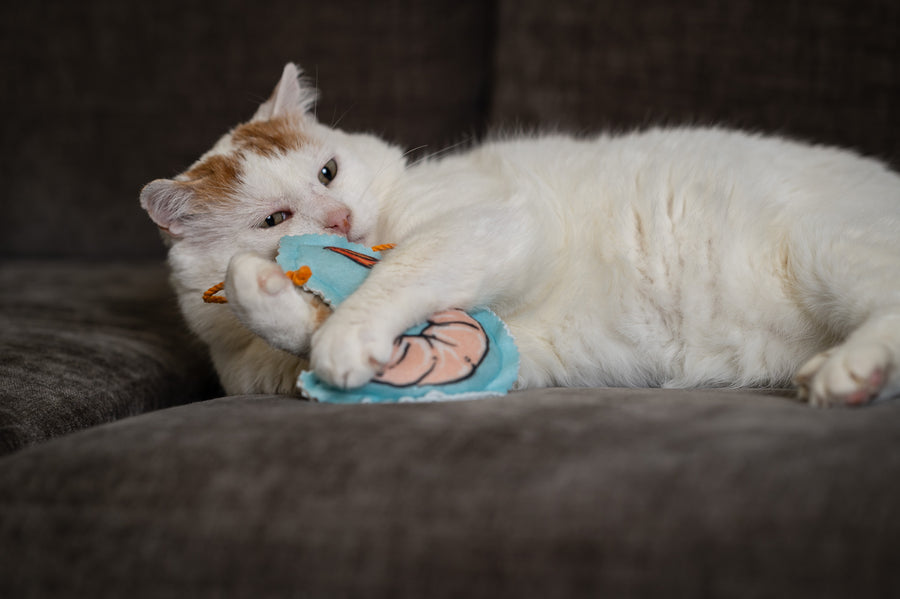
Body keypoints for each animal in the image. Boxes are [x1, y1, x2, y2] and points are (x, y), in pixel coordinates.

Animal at [139, 62, 900, 408]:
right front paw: (261, 287)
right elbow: (288, 322)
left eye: (328, 171)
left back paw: (847, 373)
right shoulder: (503, 348)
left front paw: (346, 333)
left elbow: (397, 273)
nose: (342, 224)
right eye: (274, 220)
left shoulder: (496, 225)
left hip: (824, 248)